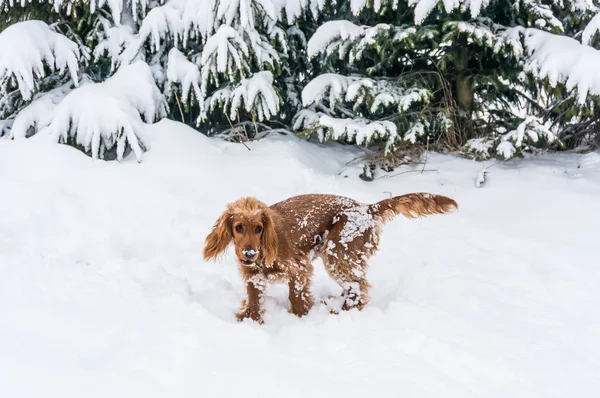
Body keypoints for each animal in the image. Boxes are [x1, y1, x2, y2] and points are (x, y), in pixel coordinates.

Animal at [204, 193, 458, 324]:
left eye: (259, 228)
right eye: (238, 227)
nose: (248, 254)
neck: (264, 252)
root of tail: (367, 209)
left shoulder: (299, 268)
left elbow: (296, 297)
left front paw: (301, 319)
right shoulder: (253, 278)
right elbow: (254, 304)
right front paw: (250, 322)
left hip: (337, 253)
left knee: (359, 287)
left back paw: (339, 312)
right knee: (353, 286)